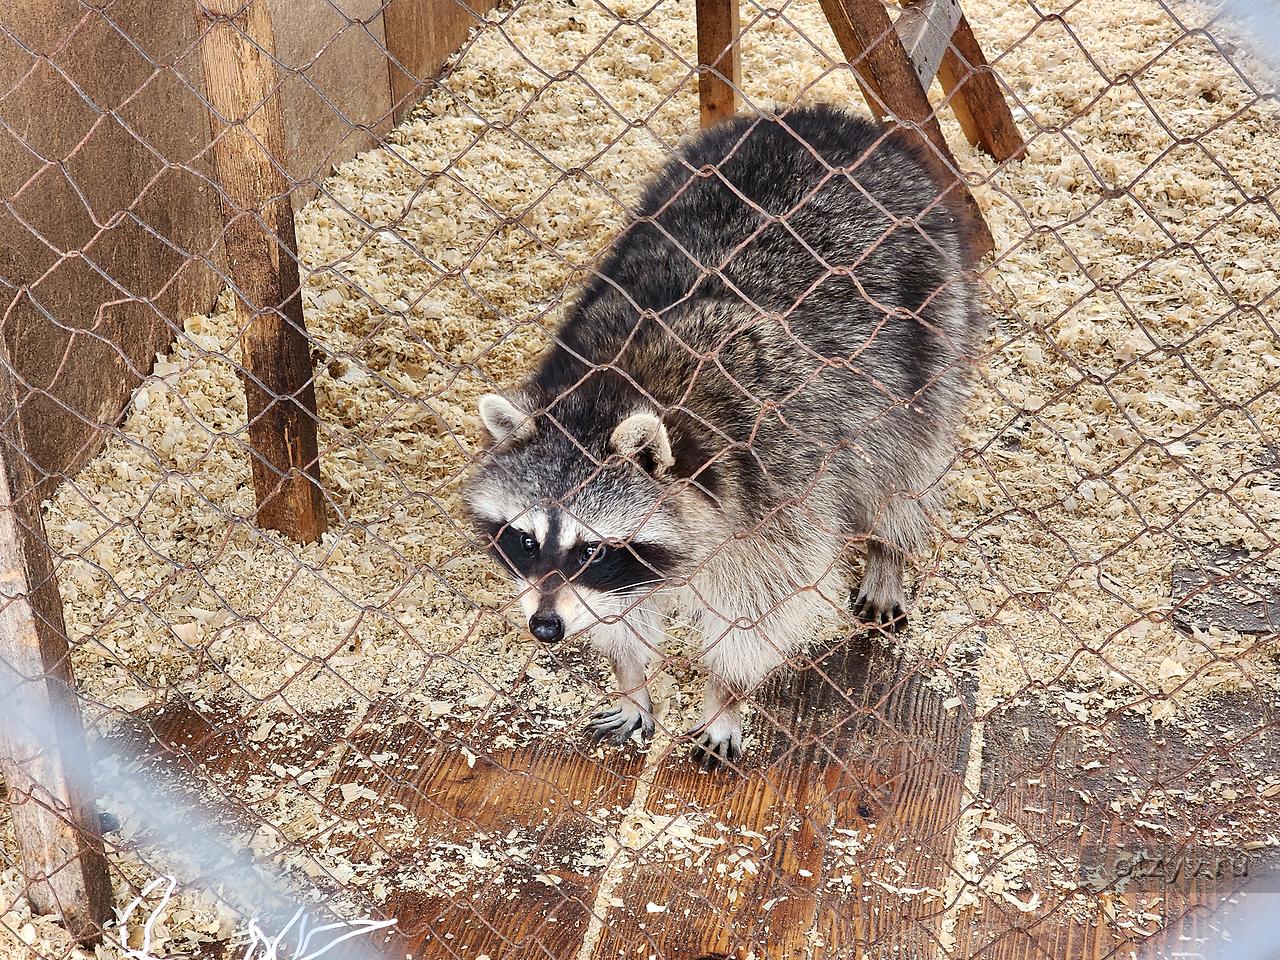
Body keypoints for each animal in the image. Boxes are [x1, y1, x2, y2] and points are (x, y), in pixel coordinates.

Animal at [465, 103, 983, 768]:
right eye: (526, 540)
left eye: (593, 550)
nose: (545, 628)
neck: (615, 391)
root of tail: (830, 118)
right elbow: (620, 615)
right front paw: (631, 677)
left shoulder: (776, 489)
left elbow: (761, 609)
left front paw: (724, 694)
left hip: (929, 323)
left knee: (906, 462)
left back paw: (887, 551)